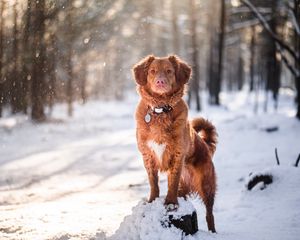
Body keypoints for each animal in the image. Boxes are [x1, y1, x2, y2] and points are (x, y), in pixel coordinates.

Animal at [132, 54, 217, 232]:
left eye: (169, 71)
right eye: (152, 71)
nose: (160, 82)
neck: (160, 109)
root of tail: (205, 146)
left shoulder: (177, 155)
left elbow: (172, 181)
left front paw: (171, 203)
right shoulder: (147, 155)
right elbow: (153, 182)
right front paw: (152, 200)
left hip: (206, 184)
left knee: (209, 213)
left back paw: (213, 231)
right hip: (186, 187)